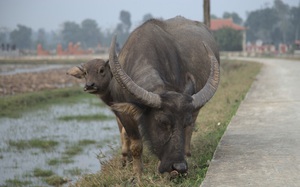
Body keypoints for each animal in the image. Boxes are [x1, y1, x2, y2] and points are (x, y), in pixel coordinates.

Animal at [67, 16, 219, 178]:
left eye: (185, 122)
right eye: (162, 122)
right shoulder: (123, 113)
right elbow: (135, 144)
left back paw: (187, 153)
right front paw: (138, 174)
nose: (179, 167)